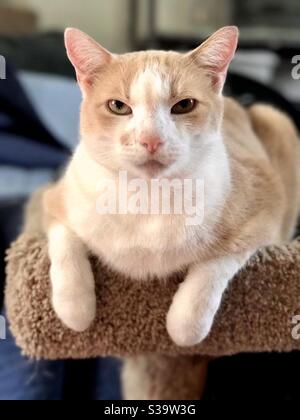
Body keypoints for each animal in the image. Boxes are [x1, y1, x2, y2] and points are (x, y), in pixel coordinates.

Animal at [43, 27, 300, 348]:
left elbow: (212, 270)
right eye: (118, 106)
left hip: (275, 120)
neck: (149, 197)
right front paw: (75, 308)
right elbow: (65, 242)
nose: (151, 139)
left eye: (184, 105)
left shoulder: (264, 210)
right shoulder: (57, 197)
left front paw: (184, 326)